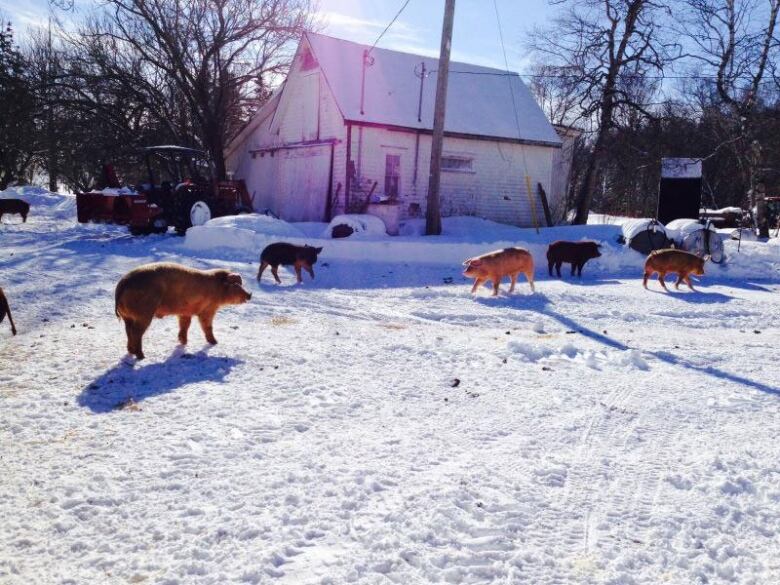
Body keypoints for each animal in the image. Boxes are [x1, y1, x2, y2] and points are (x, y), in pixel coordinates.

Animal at [113, 262, 250, 358]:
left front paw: (183, 343)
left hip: (127, 317)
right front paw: (215, 343)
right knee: (136, 332)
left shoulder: (185, 312)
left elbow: (185, 325)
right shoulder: (208, 310)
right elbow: (207, 326)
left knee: (128, 331)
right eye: (236, 285)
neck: (218, 288)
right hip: (144, 314)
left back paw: (131, 352)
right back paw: (141, 356)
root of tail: (123, 283)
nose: (250, 295)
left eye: (241, 284)